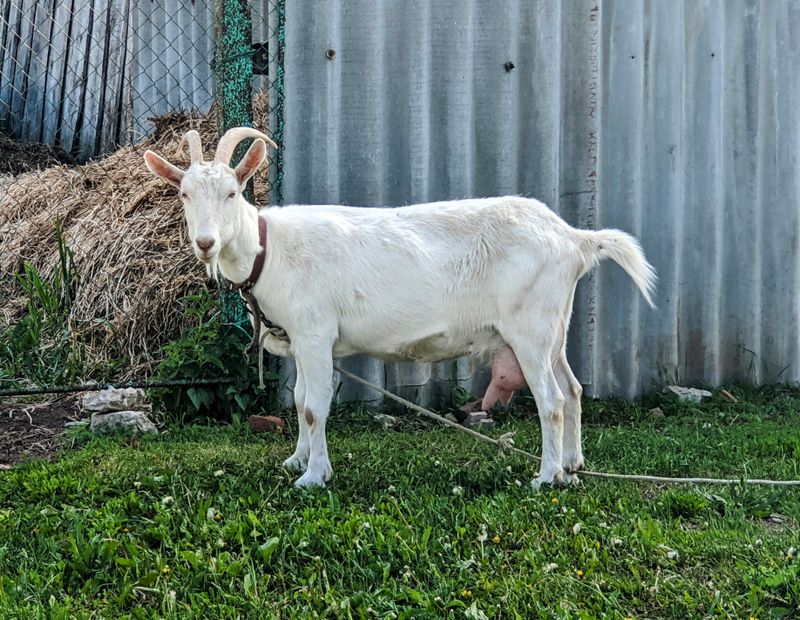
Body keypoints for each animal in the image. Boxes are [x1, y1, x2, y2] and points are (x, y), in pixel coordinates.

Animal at [144, 128, 656, 488]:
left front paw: (313, 477)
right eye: (184, 194)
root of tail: (573, 238)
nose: (205, 243)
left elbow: (314, 407)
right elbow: (299, 399)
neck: (270, 249)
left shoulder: (315, 333)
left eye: (232, 193)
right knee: (573, 390)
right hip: (554, 327)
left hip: (529, 328)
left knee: (551, 400)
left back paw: (546, 476)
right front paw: (297, 459)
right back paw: (573, 464)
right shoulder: (302, 339)